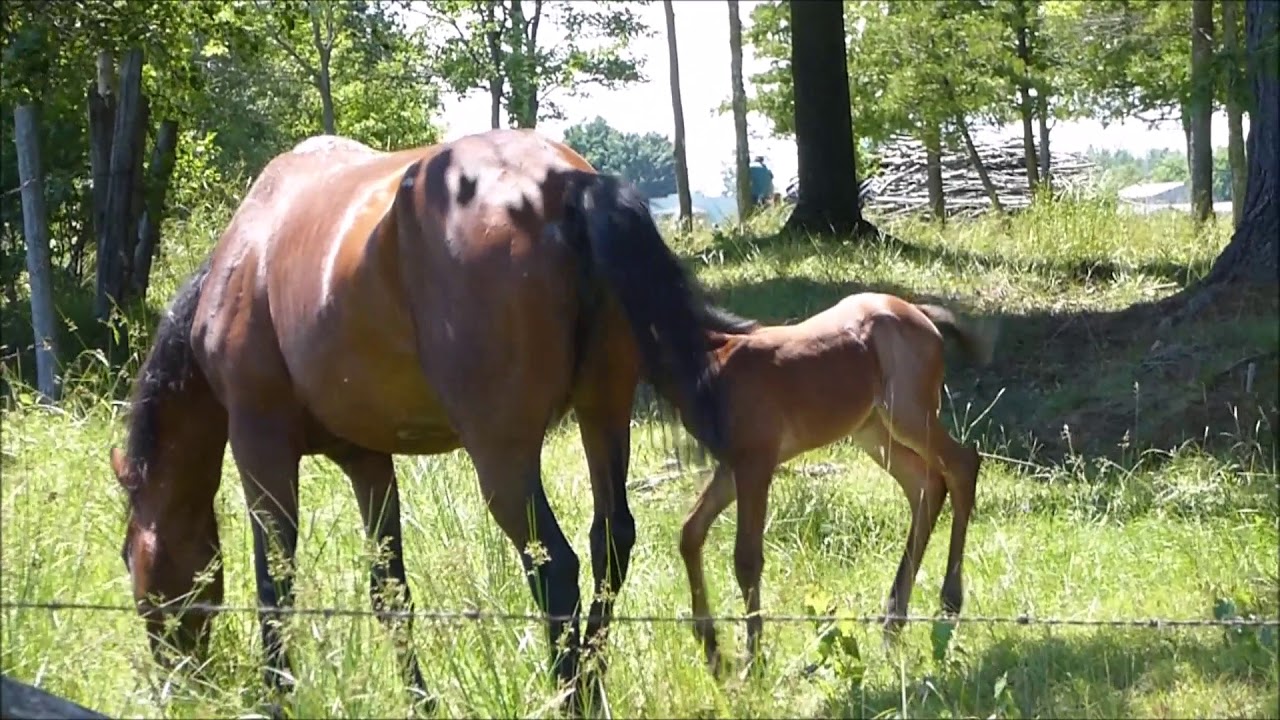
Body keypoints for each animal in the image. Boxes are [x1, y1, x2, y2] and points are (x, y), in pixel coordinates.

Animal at [109, 128, 751, 715]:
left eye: (129, 556)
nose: (175, 681)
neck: (246, 259)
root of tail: (564, 184)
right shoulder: (367, 461)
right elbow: (390, 592)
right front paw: (420, 701)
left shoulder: (259, 445)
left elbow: (275, 582)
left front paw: (277, 695)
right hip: (605, 416)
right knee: (609, 542)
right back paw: (591, 683)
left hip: (503, 457)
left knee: (555, 567)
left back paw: (571, 697)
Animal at [665, 292, 999, 675]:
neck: (713, 361)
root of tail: (918, 313)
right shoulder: (733, 465)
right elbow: (691, 531)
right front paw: (713, 649)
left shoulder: (755, 464)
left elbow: (745, 557)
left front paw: (752, 662)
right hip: (873, 432)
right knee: (925, 483)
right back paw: (893, 623)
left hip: (909, 416)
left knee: (962, 465)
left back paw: (948, 604)